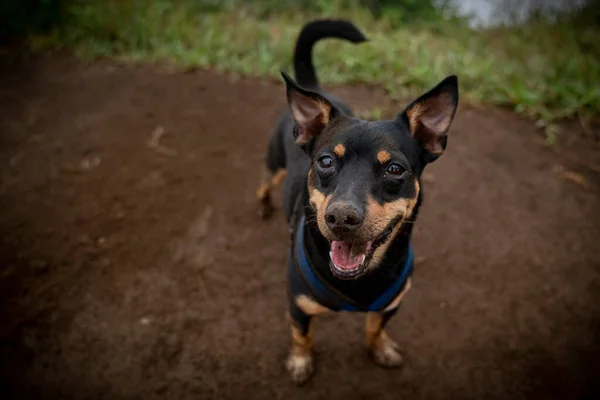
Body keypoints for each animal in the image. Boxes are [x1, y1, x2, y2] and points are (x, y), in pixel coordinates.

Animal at [256, 18, 460, 384]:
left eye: (395, 169)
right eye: (325, 161)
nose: (341, 217)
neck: (359, 282)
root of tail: (313, 88)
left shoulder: (392, 304)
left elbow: (375, 327)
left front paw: (380, 348)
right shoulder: (297, 304)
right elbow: (301, 335)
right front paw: (300, 361)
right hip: (275, 164)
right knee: (263, 183)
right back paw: (263, 203)